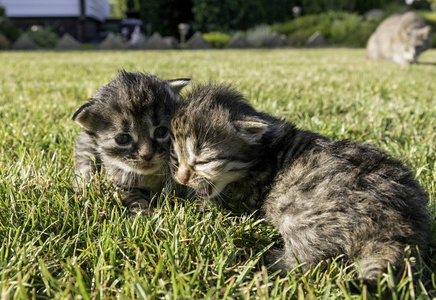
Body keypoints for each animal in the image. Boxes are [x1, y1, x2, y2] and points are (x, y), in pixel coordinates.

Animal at [72, 71, 190, 213]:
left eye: (161, 131)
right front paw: (143, 213)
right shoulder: (117, 181)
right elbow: (133, 199)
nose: (147, 155)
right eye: (123, 138)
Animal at [169, 83, 430, 284]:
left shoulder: (244, 200)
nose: (181, 177)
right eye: (177, 155)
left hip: (299, 215)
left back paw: (260, 262)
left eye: (203, 161)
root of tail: (397, 226)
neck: (264, 151)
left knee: (306, 261)